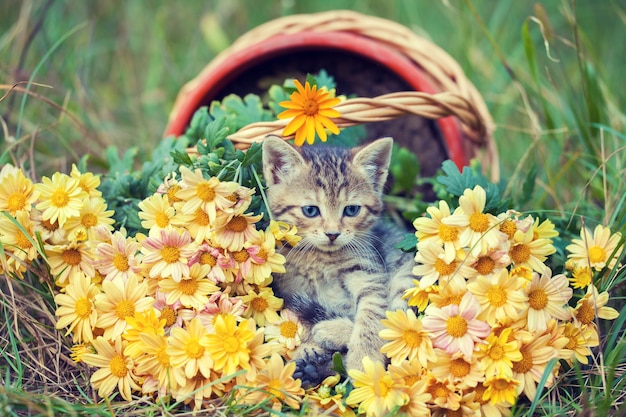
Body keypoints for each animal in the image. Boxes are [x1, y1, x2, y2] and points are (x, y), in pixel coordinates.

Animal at [260, 135, 414, 386]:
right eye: (310, 210)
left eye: (351, 210)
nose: (332, 234)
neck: (321, 260)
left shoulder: (370, 273)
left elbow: (372, 314)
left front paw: (364, 362)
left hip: (408, 276)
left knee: (405, 326)